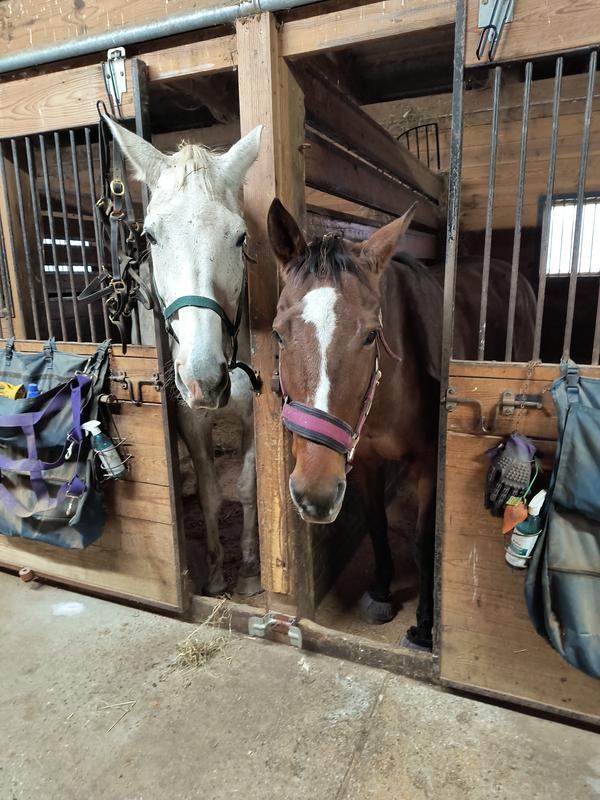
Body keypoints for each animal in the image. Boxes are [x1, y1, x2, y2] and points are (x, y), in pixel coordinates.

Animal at [103, 116, 264, 597]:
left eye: (240, 236)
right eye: (151, 235)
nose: (203, 379)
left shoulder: (253, 414)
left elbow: (246, 487)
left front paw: (251, 569)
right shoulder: (190, 419)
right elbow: (211, 493)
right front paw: (214, 573)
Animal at [267, 198, 536, 649]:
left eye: (371, 335)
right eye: (278, 334)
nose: (314, 495)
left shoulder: (430, 462)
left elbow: (425, 540)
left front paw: (425, 625)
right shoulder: (365, 461)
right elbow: (376, 522)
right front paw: (380, 592)